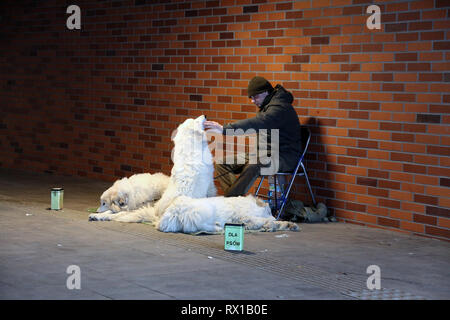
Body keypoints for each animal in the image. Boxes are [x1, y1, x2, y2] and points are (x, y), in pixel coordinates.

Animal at [158, 194, 298, 234]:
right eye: (269, 211)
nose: (274, 216)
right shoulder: (247, 219)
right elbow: (265, 221)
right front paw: (271, 225)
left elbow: (279, 223)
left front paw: (290, 225)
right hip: (203, 211)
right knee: (198, 227)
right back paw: (218, 228)